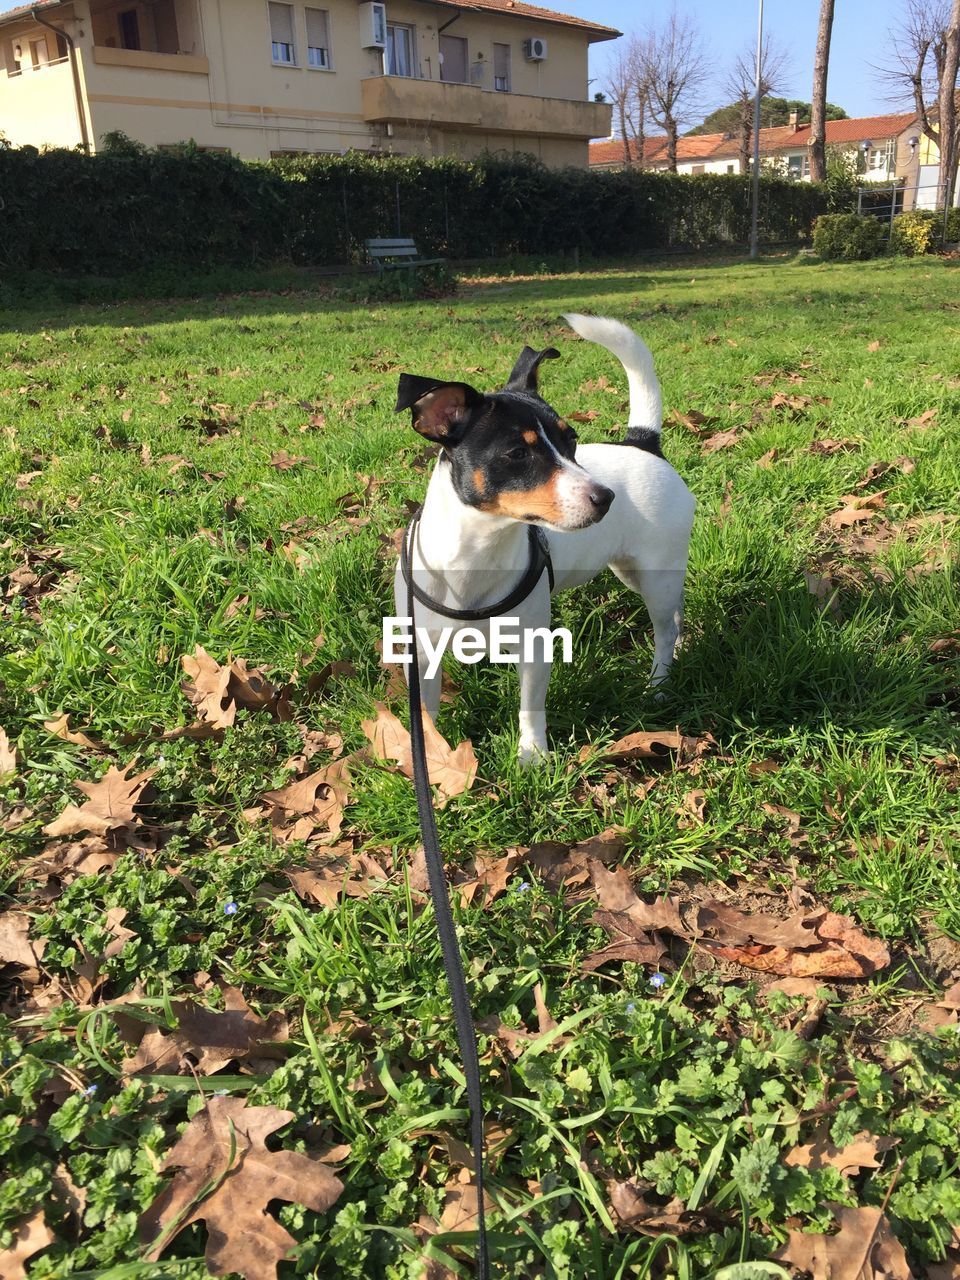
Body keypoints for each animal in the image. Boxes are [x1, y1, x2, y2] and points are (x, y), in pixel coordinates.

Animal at [394, 313, 696, 762]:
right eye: (518, 453)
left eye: (571, 440)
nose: (605, 497)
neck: (478, 554)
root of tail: (644, 444)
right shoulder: (423, 653)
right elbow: (426, 712)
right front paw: (429, 754)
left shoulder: (534, 648)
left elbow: (530, 706)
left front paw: (532, 755)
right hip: (635, 573)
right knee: (674, 616)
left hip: (657, 573)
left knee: (663, 629)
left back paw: (658, 684)